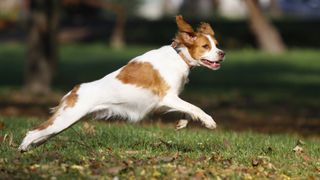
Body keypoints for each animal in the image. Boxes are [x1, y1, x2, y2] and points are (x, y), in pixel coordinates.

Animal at [18, 15, 226, 151]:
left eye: (216, 45)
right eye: (205, 46)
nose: (222, 53)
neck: (179, 56)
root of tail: (74, 91)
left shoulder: (170, 99)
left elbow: (188, 109)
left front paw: (182, 123)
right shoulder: (167, 97)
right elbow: (195, 107)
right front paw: (209, 121)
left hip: (66, 121)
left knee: (41, 134)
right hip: (66, 119)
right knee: (32, 132)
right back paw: (22, 151)